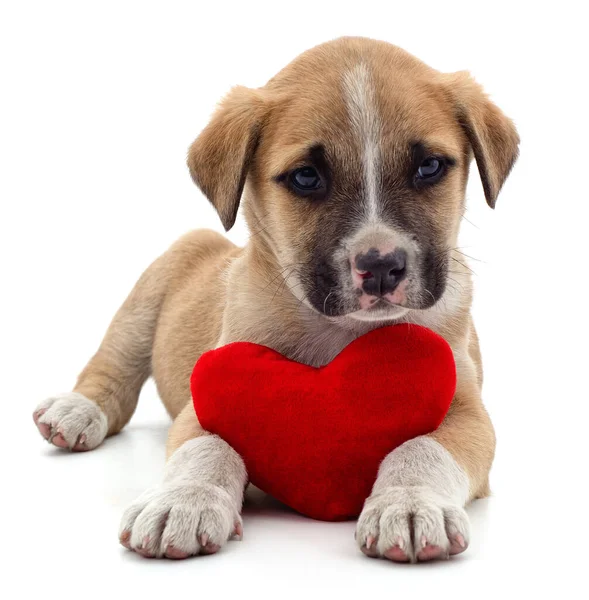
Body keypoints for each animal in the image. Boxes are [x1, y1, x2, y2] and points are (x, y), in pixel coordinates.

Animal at [33, 36, 520, 564]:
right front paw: (183, 500)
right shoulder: (208, 399)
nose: (381, 265)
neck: (341, 332)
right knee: (114, 367)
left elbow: (422, 449)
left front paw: (409, 503)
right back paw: (77, 410)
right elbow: (206, 449)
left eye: (429, 167)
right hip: (145, 300)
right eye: (306, 177)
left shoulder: (468, 414)